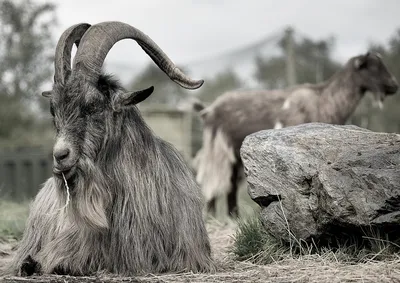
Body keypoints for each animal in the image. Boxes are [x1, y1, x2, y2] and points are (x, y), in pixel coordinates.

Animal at [191, 52, 396, 219]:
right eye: (372, 67)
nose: (393, 86)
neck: (325, 100)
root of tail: (208, 110)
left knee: (229, 185)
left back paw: (232, 217)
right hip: (218, 150)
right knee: (213, 182)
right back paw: (215, 217)